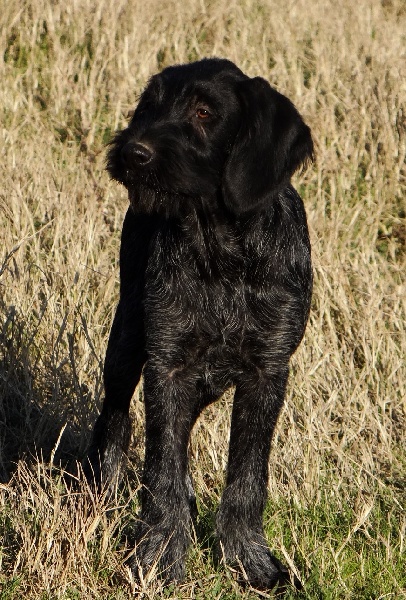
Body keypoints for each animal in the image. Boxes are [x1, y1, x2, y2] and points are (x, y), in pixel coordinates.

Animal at [86, 57, 314, 592]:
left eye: (205, 112)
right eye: (150, 105)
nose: (133, 153)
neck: (221, 251)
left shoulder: (267, 374)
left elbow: (247, 476)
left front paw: (249, 559)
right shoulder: (166, 365)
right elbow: (162, 469)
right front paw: (160, 557)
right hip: (126, 344)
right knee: (115, 419)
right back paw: (105, 495)